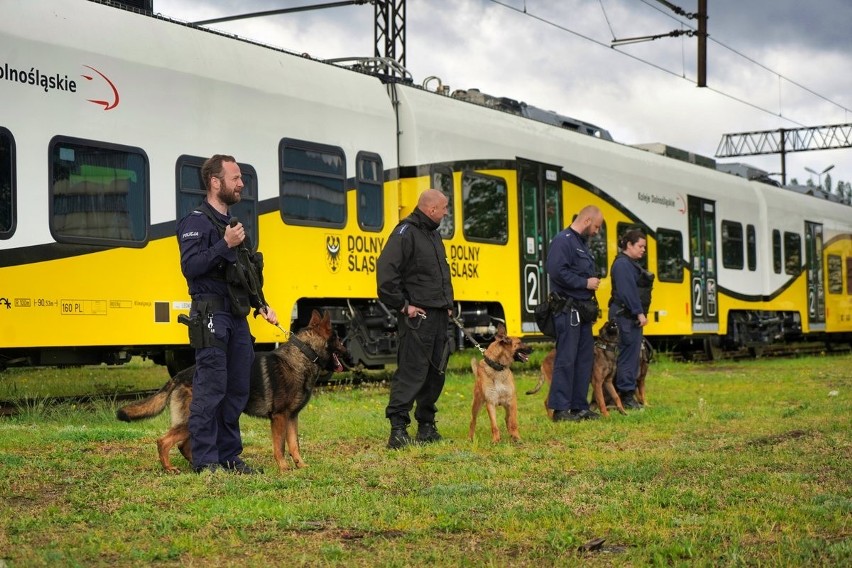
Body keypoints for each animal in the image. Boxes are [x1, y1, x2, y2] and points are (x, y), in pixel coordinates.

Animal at [117, 308, 346, 472]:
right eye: (337, 338)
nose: (347, 350)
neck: (303, 356)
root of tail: (180, 375)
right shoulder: (279, 418)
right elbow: (280, 447)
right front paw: (283, 468)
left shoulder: (292, 417)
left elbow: (294, 444)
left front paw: (301, 465)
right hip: (194, 418)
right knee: (163, 441)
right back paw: (171, 468)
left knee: (183, 445)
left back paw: (204, 467)